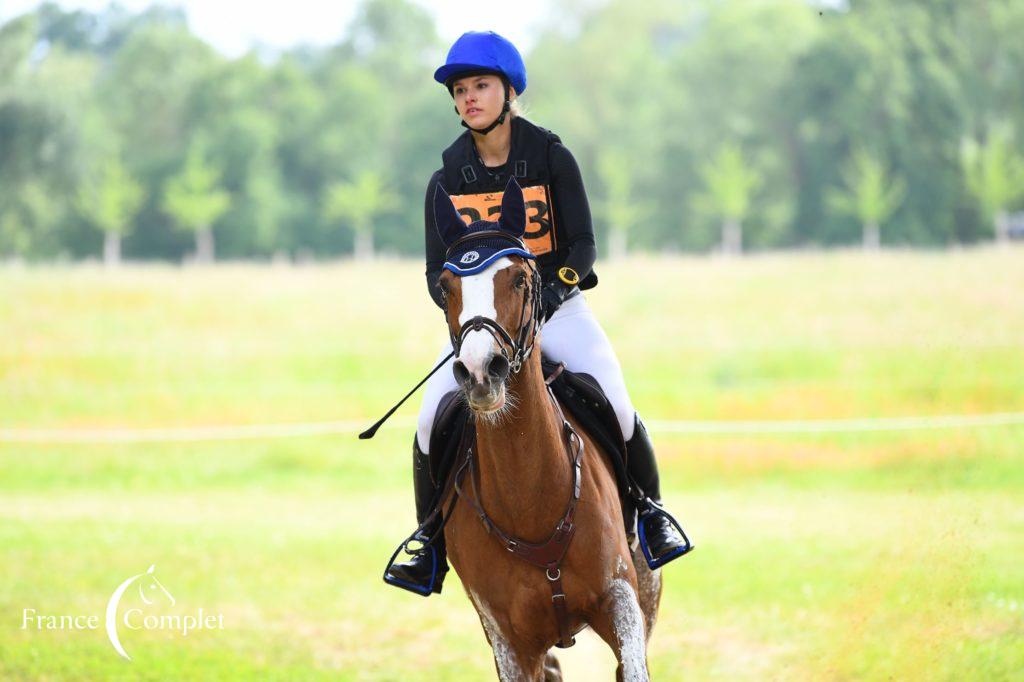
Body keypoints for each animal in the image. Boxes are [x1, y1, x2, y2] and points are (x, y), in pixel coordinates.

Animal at [434, 184, 659, 675]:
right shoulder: (510, 643)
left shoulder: (620, 598)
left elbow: (631, 667)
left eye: (520, 278)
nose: (480, 372)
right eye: (445, 287)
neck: (530, 500)